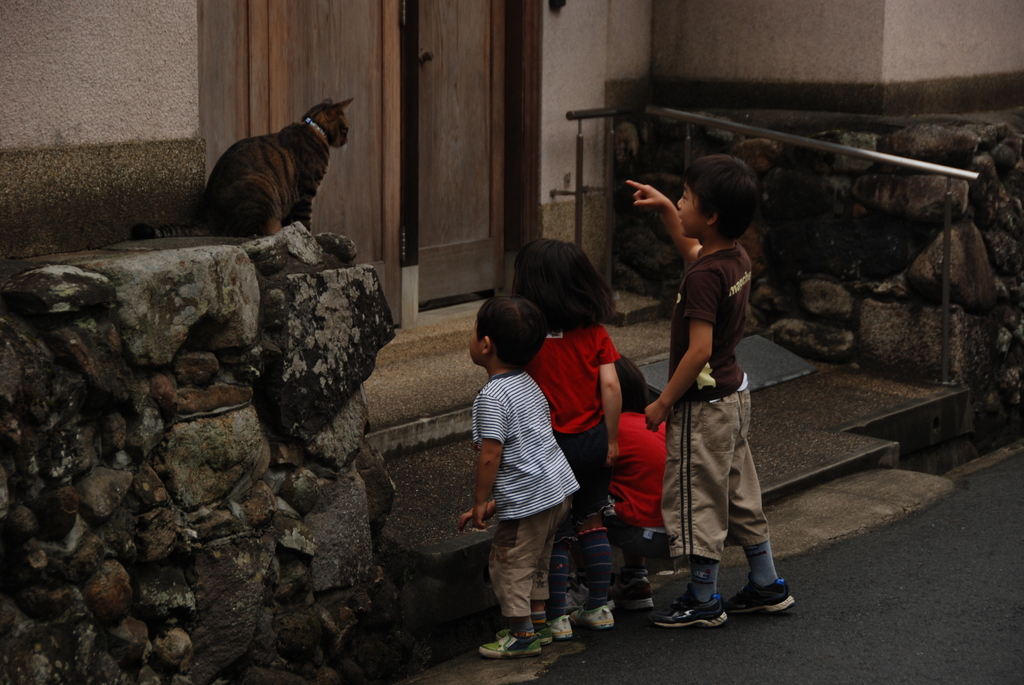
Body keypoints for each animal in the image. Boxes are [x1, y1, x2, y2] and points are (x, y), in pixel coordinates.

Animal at [132, 97, 352, 239]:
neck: (315, 129)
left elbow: (294, 223)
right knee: (241, 231)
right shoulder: (305, 193)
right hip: (260, 186)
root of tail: (207, 218)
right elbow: (305, 223)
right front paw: (311, 239)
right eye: (346, 129)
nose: (347, 140)